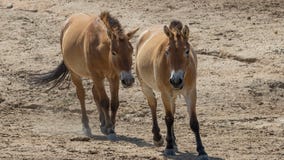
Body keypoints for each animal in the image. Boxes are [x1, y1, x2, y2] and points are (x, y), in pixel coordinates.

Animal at [32, 12, 138, 140]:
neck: (99, 47)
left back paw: (102, 123)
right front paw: (109, 129)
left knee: (94, 93)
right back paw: (86, 127)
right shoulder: (97, 76)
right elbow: (104, 101)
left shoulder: (114, 77)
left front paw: (111, 126)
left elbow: (114, 103)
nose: (128, 80)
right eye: (114, 52)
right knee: (81, 95)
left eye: (131, 50)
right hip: (75, 74)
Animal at [135, 20, 209, 158]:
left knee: (172, 110)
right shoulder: (165, 93)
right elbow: (169, 119)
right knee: (153, 105)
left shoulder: (191, 93)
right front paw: (168, 147)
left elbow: (194, 122)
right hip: (145, 87)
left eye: (187, 51)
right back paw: (158, 138)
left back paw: (174, 141)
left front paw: (201, 150)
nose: (176, 80)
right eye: (167, 51)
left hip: (173, 95)